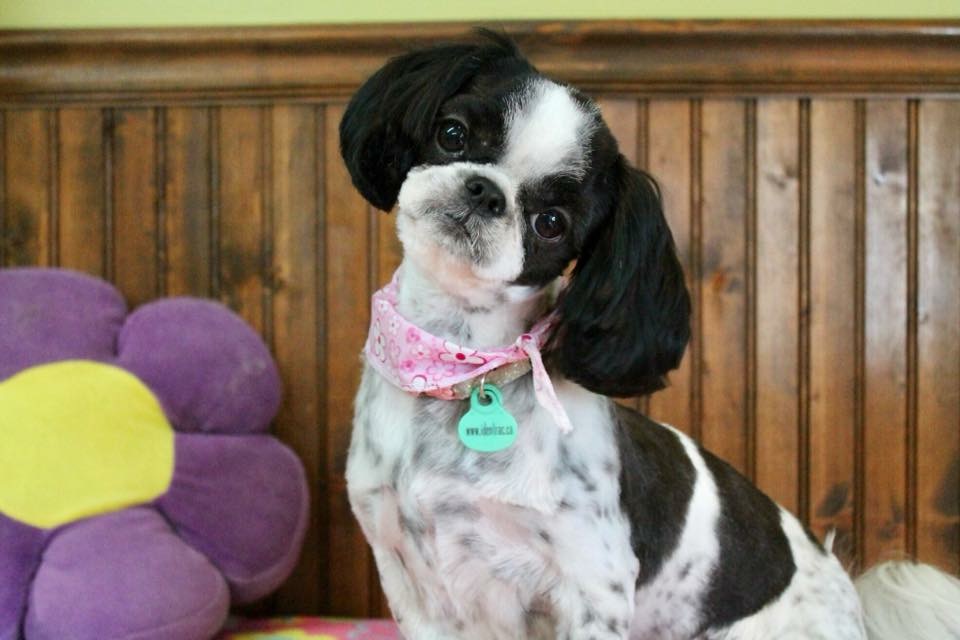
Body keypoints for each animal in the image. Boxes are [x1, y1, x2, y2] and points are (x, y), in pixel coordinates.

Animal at [340, 32, 953, 639]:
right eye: (452, 134)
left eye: (551, 223)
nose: (484, 191)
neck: (461, 366)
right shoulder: (413, 582)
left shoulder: (591, 585)